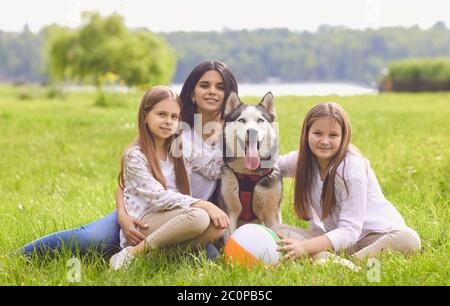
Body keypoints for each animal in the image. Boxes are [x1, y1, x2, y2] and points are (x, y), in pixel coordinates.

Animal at [217, 92, 282, 235]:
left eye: (260, 120)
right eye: (242, 120)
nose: (252, 131)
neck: (248, 175)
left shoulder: (272, 213)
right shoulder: (229, 211)